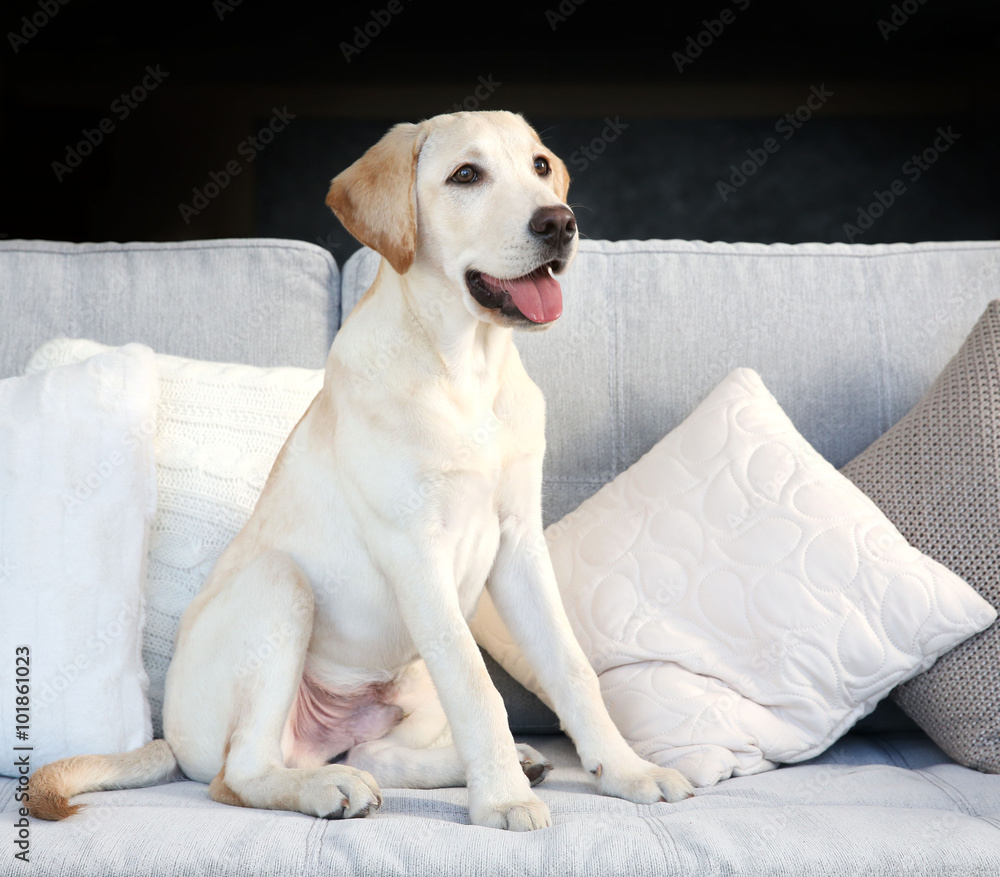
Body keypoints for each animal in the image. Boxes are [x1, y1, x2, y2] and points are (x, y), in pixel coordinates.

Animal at [27, 113, 692, 832]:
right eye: (466, 175)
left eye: (540, 166)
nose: (560, 223)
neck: (466, 370)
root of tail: (171, 740)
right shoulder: (416, 553)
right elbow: (477, 685)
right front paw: (504, 799)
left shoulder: (519, 542)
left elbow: (570, 667)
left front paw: (624, 770)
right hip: (280, 589)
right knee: (241, 774)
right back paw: (330, 786)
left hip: (409, 676)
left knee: (379, 752)